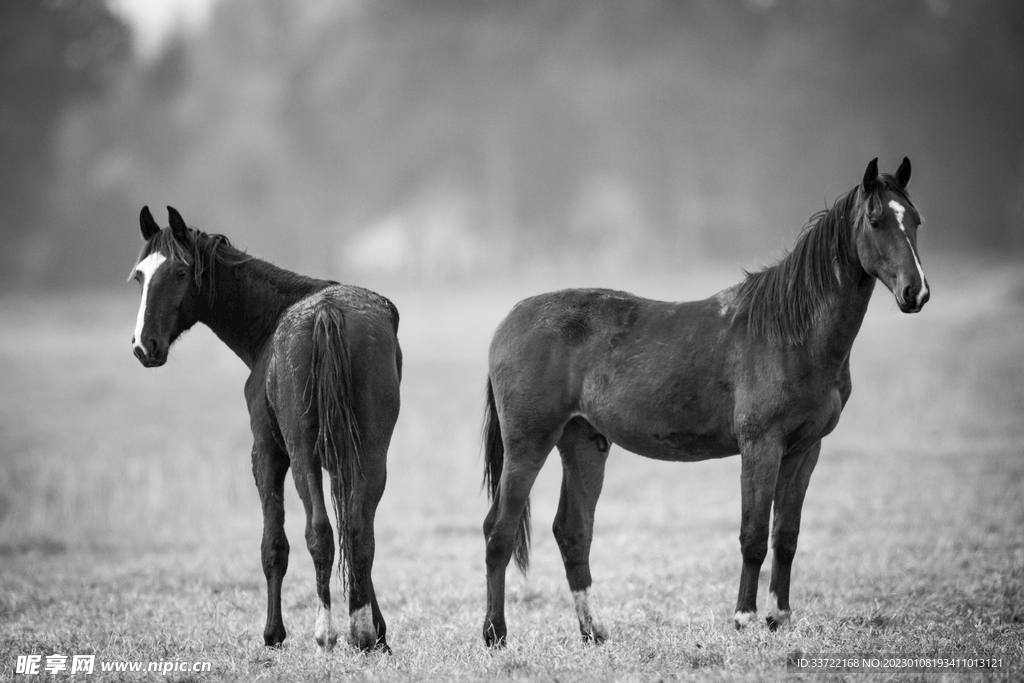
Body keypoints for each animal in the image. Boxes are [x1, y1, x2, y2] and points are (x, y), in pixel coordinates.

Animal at [128, 207, 401, 652]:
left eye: (181, 273)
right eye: (140, 276)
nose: (143, 346)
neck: (271, 320)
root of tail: (328, 313)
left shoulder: (267, 454)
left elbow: (275, 544)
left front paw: (273, 633)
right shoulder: (343, 459)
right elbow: (352, 526)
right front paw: (376, 631)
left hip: (302, 455)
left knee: (319, 531)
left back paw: (325, 632)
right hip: (371, 454)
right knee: (359, 530)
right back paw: (361, 633)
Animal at [480, 157, 929, 646]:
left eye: (915, 220)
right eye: (875, 220)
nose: (916, 292)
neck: (791, 332)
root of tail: (509, 322)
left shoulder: (805, 449)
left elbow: (786, 535)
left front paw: (780, 618)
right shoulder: (761, 445)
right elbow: (753, 535)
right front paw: (745, 618)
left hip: (583, 443)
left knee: (572, 531)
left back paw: (593, 632)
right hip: (529, 445)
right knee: (499, 532)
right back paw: (495, 634)